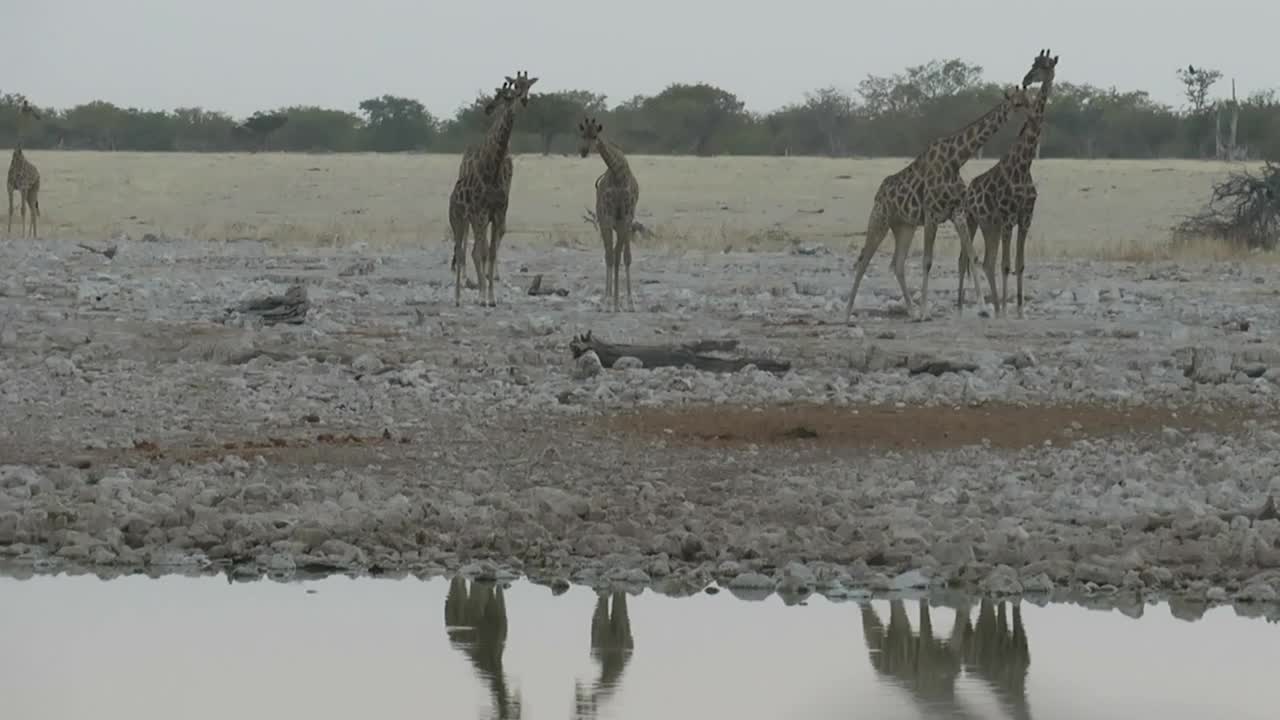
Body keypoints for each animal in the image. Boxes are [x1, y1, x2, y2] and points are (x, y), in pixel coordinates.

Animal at [6, 99, 42, 238]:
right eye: (28, 108)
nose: (38, 116)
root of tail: (38, 173)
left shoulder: (22, 187)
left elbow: (22, 210)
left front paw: (21, 235)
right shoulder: (10, 186)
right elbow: (11, 209)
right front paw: (8, 233)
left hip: (33, 189)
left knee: (32, 211)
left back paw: (33, 235)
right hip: (29, 192)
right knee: (32, 210)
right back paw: (31, 235)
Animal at [448, 71, 537, 307]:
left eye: (527, 86)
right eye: (507, 92)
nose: (522, 101)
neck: (493, 169)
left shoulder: (496, 212)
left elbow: (492, 251)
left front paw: (492, 296)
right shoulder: (481, 213)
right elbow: (483, 253)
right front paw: (482, 296)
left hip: (472, 219)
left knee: (470, 250)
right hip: (458, 219)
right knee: (462, 249)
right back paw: (458, 296)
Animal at [578, 116, 640, 310]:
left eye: (595, 135)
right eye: (582, 134)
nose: (583, 151)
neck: (617, 171)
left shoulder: (625, 218)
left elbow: (621, 256)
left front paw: (622, 302)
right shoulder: (607, 217)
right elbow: (611, 256)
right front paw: (609, 301)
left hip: (622, 224)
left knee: (622, 255)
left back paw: (625, 301)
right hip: (608, 222)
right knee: (609, 254)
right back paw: (610, 298)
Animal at [844, 82, 1034, 320]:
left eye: (1029, 99)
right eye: (1017, 103)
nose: (1033, 116)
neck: (955, 160)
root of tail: (880, 192)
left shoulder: (957, 212)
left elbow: (972, 256)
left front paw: (983, 308)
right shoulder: (932, 213)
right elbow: (927, 261)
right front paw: (925, 311)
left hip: (904, 226)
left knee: (898, 263)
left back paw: (910, 311)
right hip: (880, 217)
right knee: (864, 259)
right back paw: (848, 313)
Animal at [962, 50, 1059, 316]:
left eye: (1045, 66)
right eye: (1033, 63)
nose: (1027, 79)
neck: (1024, 167)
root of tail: (968, 190)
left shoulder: (1025, 218)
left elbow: (1019, 264)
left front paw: (1019, 311)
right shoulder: (1008, 218)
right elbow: (1006, 265)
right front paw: (1007, 311)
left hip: (990, 226)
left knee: (986, 262)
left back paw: (993, 307)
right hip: (973, 220)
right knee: (966, 259)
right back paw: (964, 307)